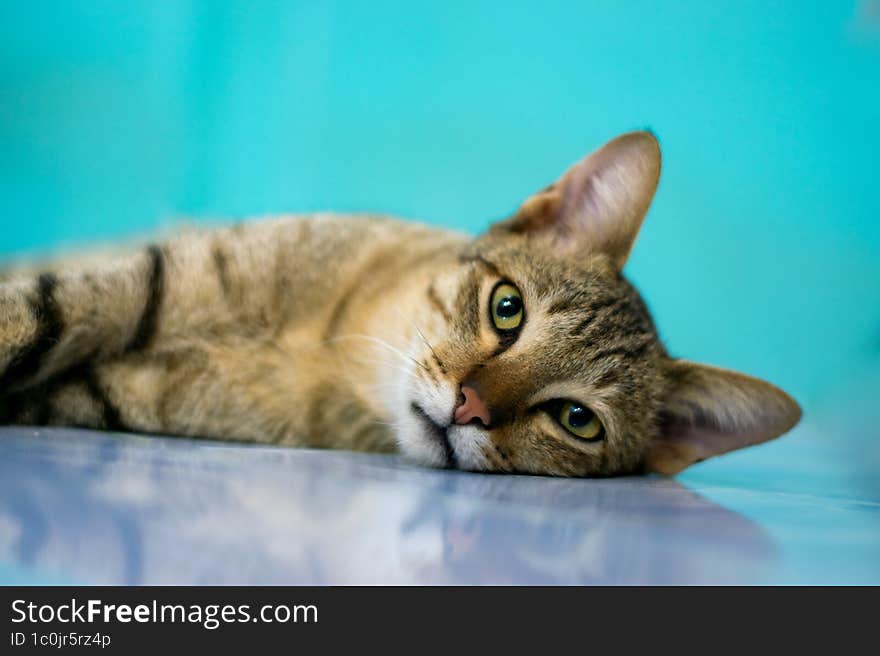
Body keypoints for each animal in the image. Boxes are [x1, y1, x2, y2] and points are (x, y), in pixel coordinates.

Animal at [0, 131, 796, 476]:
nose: (469, 406)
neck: (336, 353)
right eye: (508, 309)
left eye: (577, 420)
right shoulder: (167, 273)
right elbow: (37, 309)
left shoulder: (114, 393)